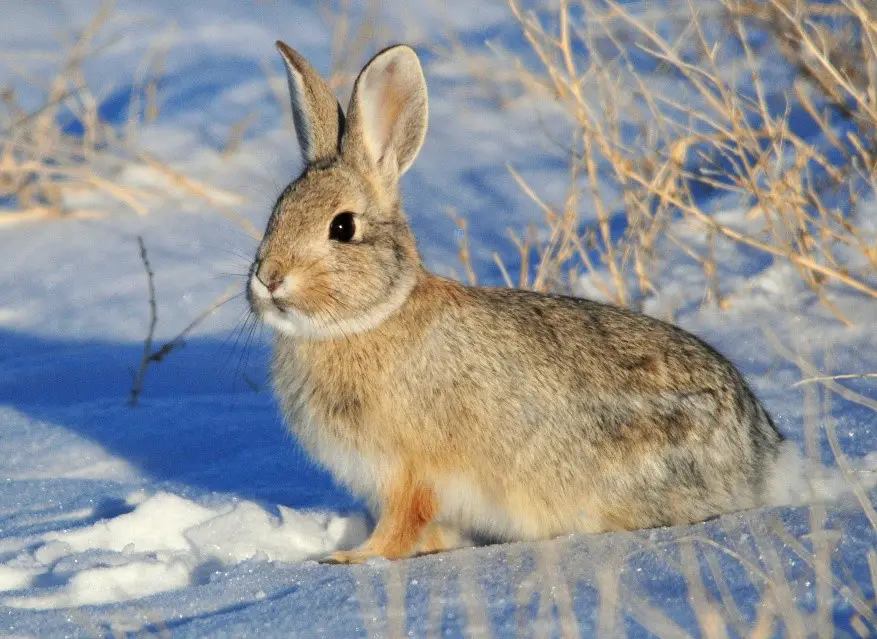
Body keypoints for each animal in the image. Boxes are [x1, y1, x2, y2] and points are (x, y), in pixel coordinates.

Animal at [248, 40, 788, 564]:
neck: (370, 318)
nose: (269, 278)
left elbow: (402, 523)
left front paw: (352, 559)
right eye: (276, 212)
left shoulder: (409, 471)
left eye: (342, 227)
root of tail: (763, 454)